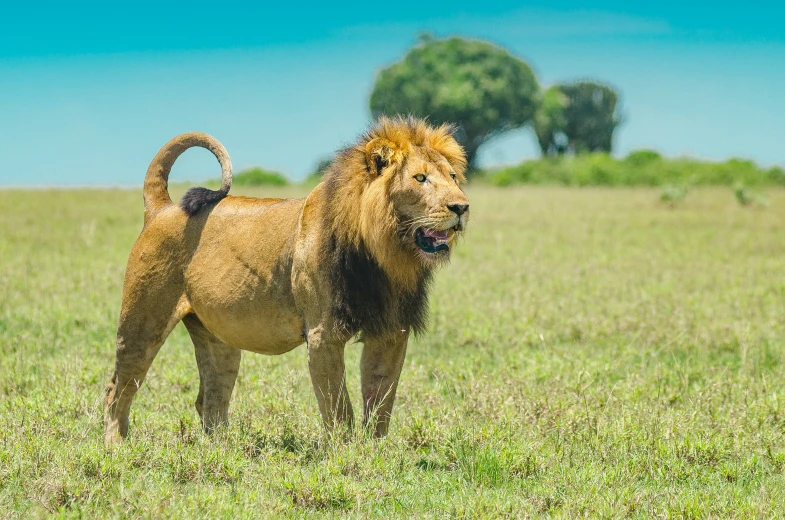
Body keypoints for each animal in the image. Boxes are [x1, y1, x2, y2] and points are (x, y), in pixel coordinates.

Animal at [101, 117, 468, 442]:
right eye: (420, 178)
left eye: (452, 176)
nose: (462, 207)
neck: (385, 254)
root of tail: (163, 208)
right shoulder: (323, 335)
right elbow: (339, 409)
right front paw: (345, 455)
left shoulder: (391, 332)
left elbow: (380, 403)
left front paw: (375, 453)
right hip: (143, 322)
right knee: (117, 388)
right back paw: (116, 445)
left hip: (217, 337)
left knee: (210, 398)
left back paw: (223, 450)